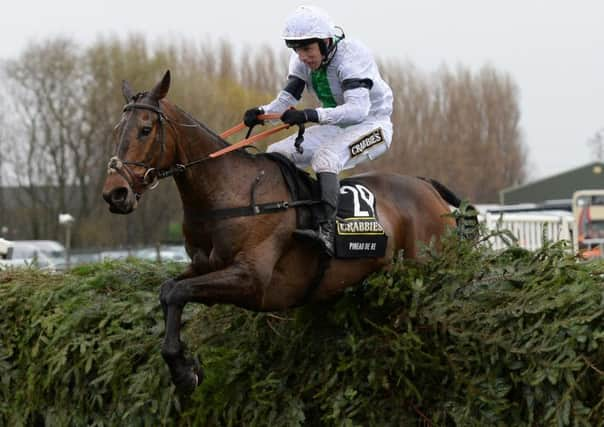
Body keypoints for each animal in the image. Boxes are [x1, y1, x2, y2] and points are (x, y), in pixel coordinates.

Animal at [101, 70, 474, 394]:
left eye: (145, 129)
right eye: (117, 129)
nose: (115, 193)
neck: (229, 192)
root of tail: (427, 186)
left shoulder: (251, 280)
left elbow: (179, 293)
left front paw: (182, 371)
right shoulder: (204, 266)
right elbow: (168, 290)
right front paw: (184, 366)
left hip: (426, 264)